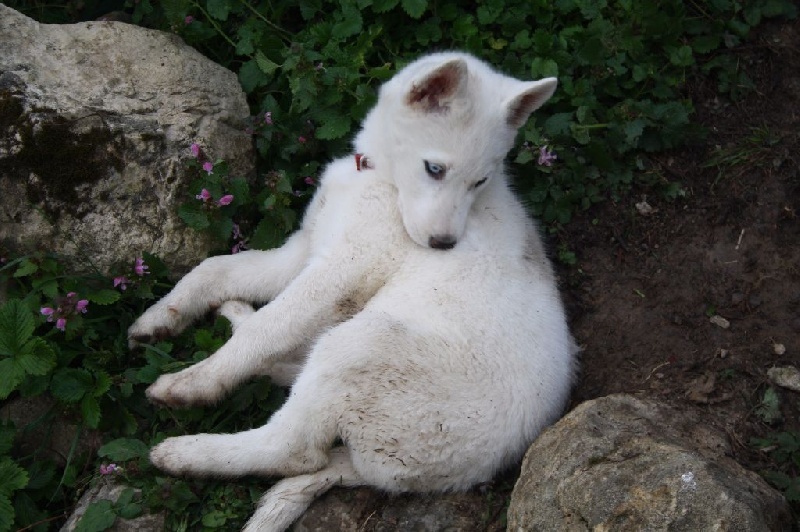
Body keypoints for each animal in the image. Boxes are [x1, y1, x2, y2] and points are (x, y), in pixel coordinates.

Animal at [133, 52, 580, 528]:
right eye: (435, 169)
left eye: (481, 181)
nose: (443, 245)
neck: (377, 178)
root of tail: (465, 473)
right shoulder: (304, 248)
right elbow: (215, 268)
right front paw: (162, 315)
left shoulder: (345, 266)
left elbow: (271, 324)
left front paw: (199, 381)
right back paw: (237, 321)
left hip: (362, 345)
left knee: (296, 448)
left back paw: (185, 451)